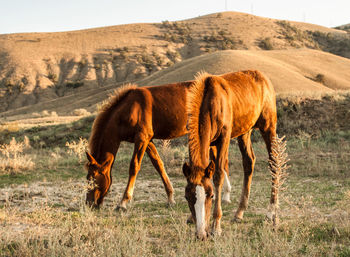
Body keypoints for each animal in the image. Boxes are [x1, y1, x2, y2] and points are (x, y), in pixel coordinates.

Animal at [84, 81, 232, 209]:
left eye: (92, 179)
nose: (89, 203)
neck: (129, 109)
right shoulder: (148, 141)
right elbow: (159, 165)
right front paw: (171, 198)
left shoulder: (142, 139)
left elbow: (134, 166)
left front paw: (123, 202)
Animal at [182, 69, 278, 238]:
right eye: (187, 196)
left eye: (211, 195)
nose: (201, 234)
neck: (209, 101)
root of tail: (263, 78)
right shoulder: (210, 143)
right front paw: (192, 218)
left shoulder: (224, 138)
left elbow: (218, 175)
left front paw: (216, 226)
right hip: (245, 131)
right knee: (249, 162)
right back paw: (239, 212)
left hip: (268, 126)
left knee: (274, 162)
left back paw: (270, 212)